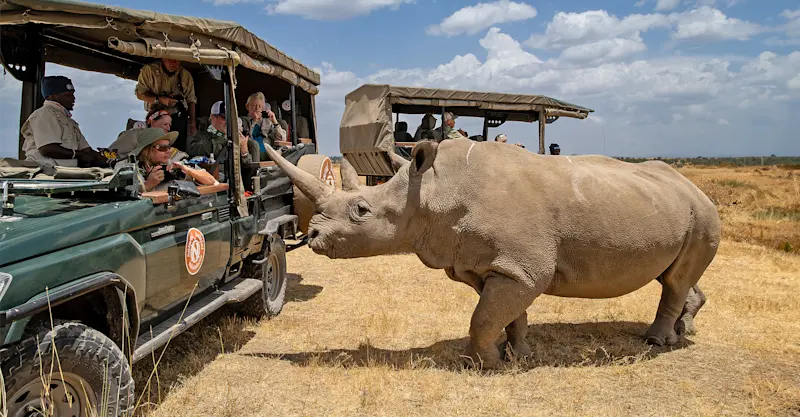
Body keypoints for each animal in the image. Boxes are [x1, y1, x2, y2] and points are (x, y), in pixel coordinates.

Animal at [263, 139, 720, 369]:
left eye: (362, 211)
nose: (313, 235)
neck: (431, 192)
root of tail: (695, 187)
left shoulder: (521, 268)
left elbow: (483, 317)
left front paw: (484, 365)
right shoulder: (497, 266)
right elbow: (507, 314)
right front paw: (517, 355)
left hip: (702, 213)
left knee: (675, 280)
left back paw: (656, 342)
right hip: (674, 208)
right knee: (676, 276)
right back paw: (685, 330)